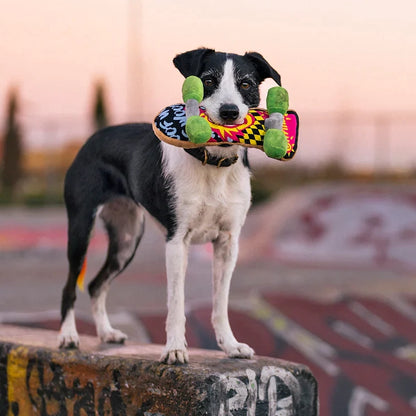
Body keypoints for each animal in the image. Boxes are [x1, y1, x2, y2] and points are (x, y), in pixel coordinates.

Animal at [58, 47, 282, 362]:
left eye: (246, 84)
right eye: (208, 80)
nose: (229, 112)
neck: (213, 164)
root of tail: (91, 139)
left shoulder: (228, 243)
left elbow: (221, 302)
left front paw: (230, 345)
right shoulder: (177, 242)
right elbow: (176, 302)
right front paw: (175, 349)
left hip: (126, 239)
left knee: (95, 284)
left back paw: (106, 333)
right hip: (81, 229)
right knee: (71, 285)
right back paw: (68, 336)